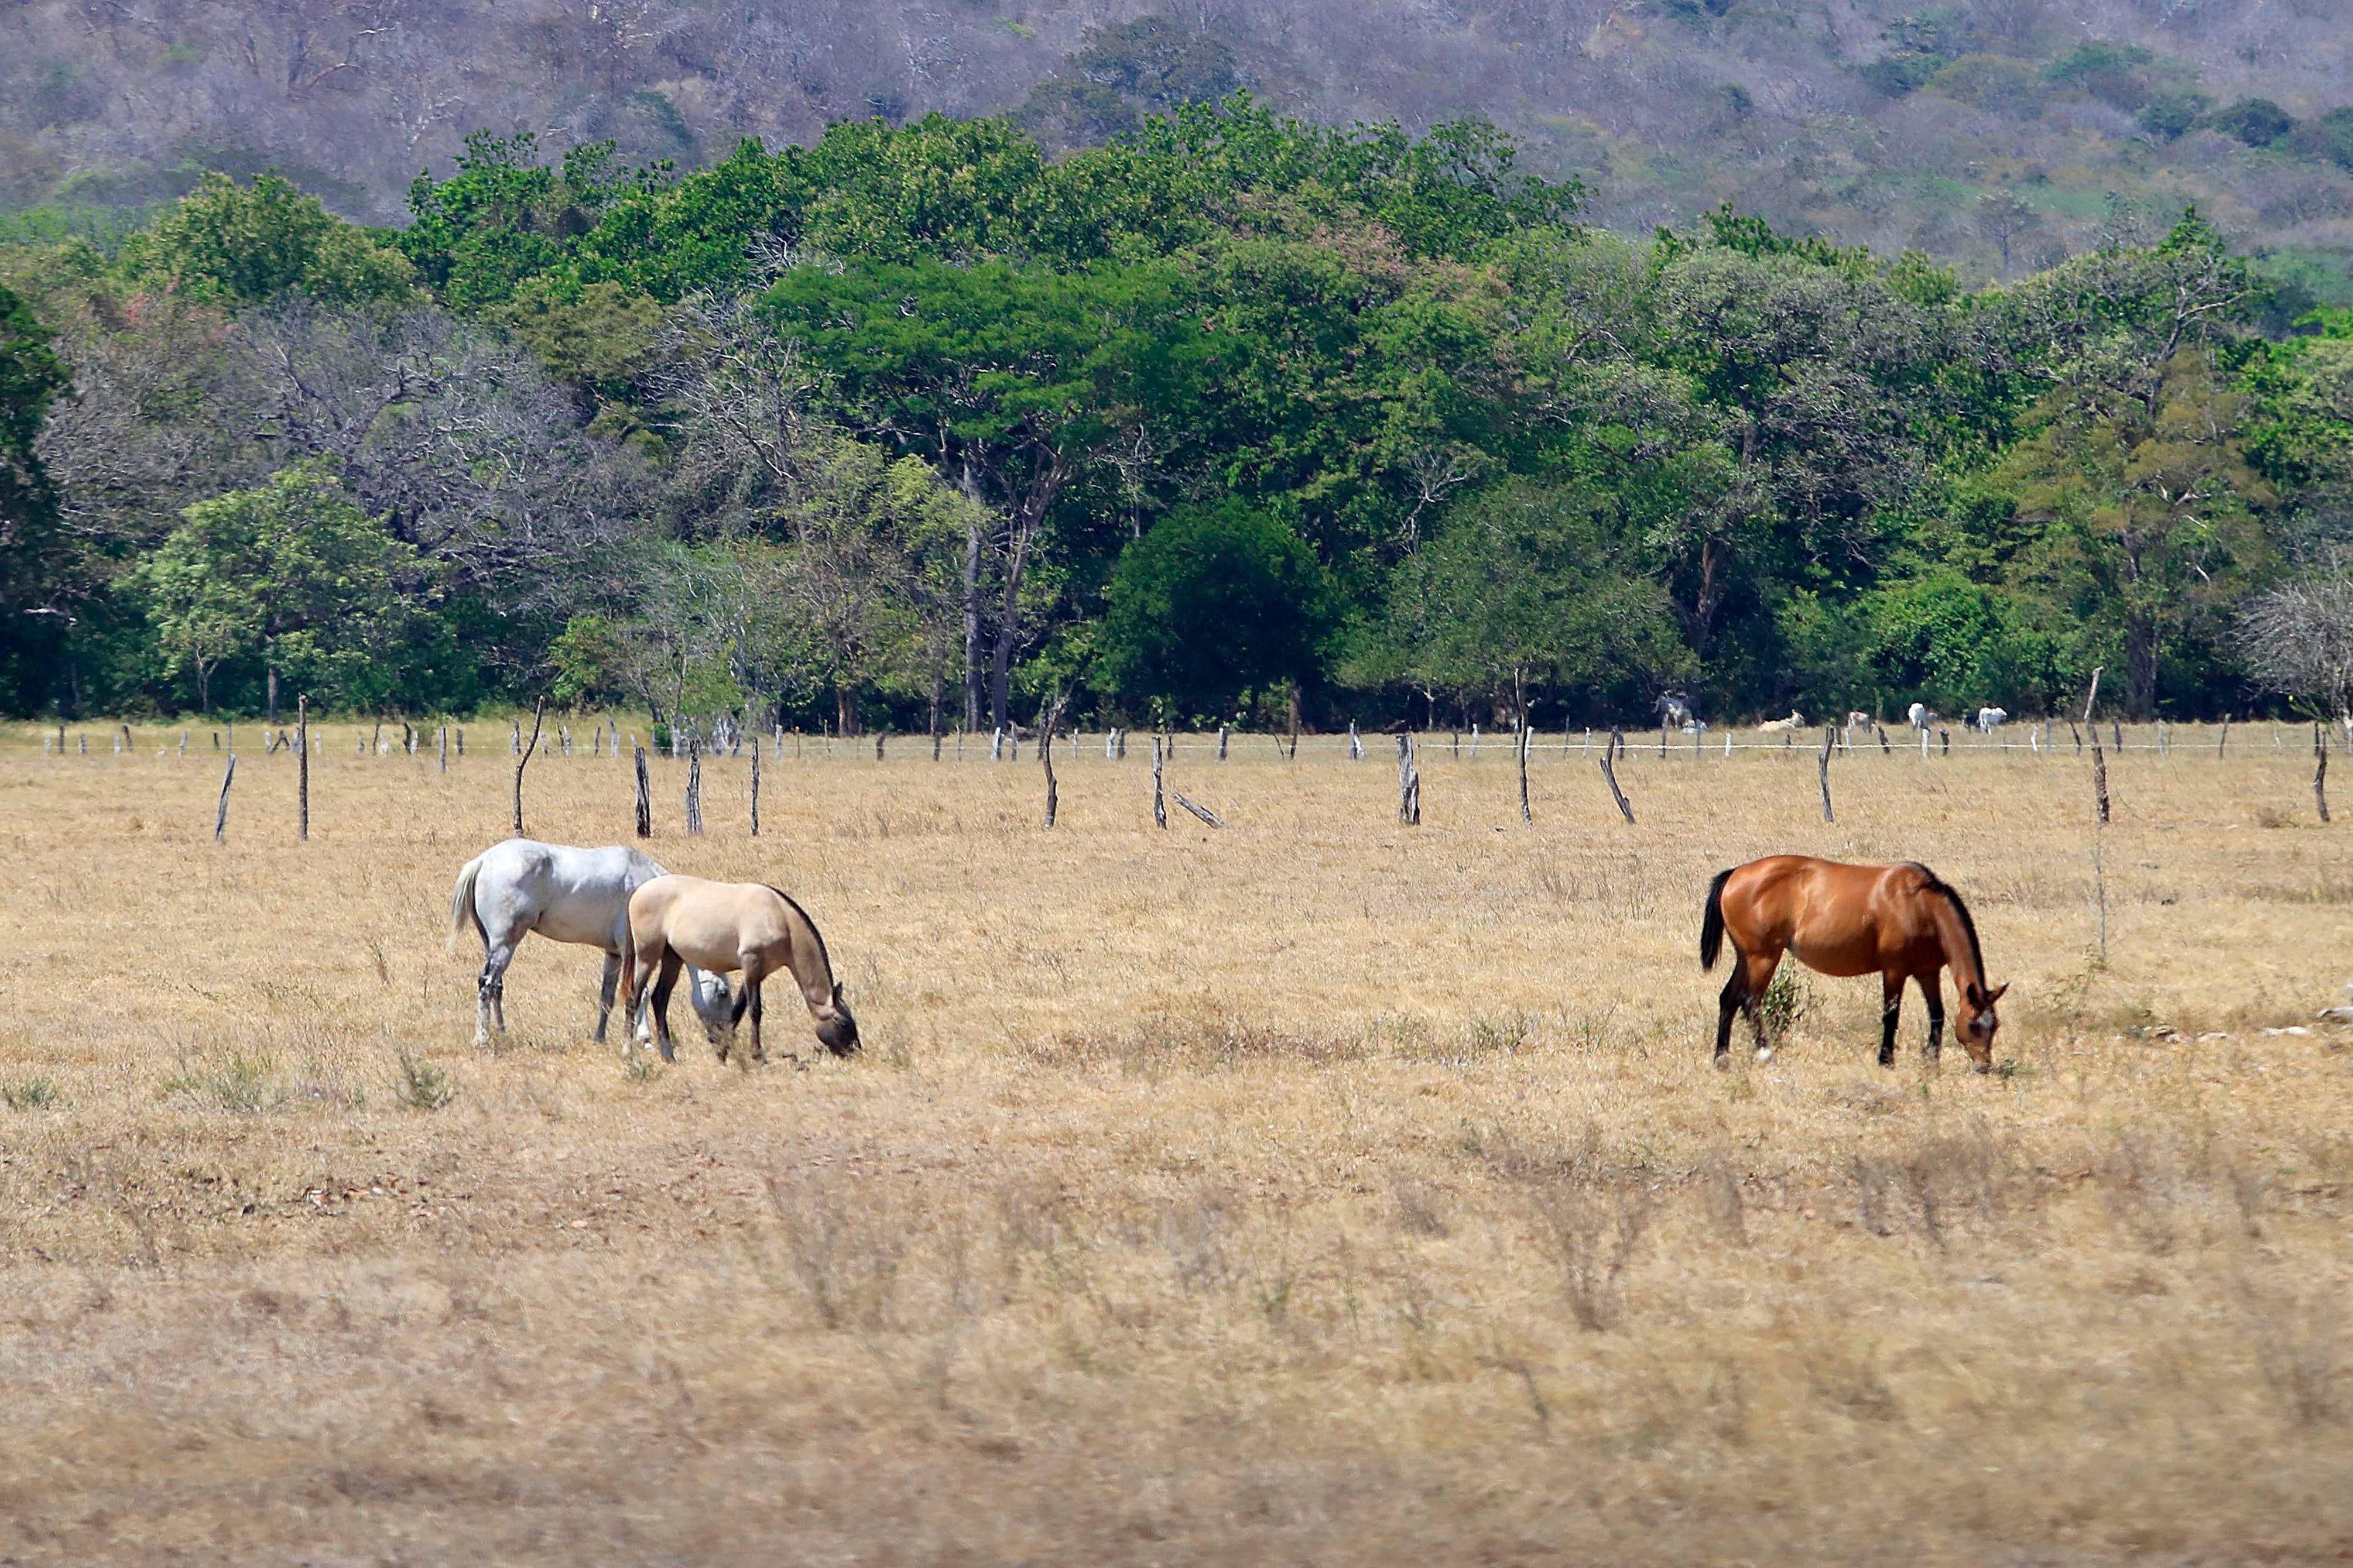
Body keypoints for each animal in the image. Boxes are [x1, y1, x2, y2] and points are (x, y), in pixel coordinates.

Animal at [448, 840, 734, 1047]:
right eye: (723, 992)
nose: (726, 1036)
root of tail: (483, 861)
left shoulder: (614, 954)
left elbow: (607, 997)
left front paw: (600, 1037)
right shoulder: (633, 953)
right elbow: (639, 993)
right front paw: (644, 1039)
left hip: (493, 944)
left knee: (497, 986)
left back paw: (501, 1031)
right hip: (505, 944)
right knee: (487, 983)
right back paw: (482, 1038)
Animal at [622, 875, 857, 1065]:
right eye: (843, 1022)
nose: (855, 1050)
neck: (778, 916)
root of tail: (638, 892)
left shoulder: (758, 972)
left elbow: (738, 1009)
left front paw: (722, 1053)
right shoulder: (752, 963)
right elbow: (755, 1010)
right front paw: (758, 1055)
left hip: (672, 959)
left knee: (659, 1000)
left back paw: (669, 1056)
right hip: (647, 957)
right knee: (634, 998)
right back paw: (628, 1052)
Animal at [1699, 856, 2007, 1073]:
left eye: (1995, 1026)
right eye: (1974, 1026)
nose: (1983, 1067)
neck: (1921, 905)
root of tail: (1735, 874)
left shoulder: (1928, 972)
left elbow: (1937, 1014)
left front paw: (1932, 1058)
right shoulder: (1894, 971)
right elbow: (1891, 1015)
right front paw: (1886, 1060)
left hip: (1746, 957)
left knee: (1729, 999)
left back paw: (1722, 1059)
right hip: (1763, 958)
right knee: (1750, 1001)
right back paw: (1766, 1053)